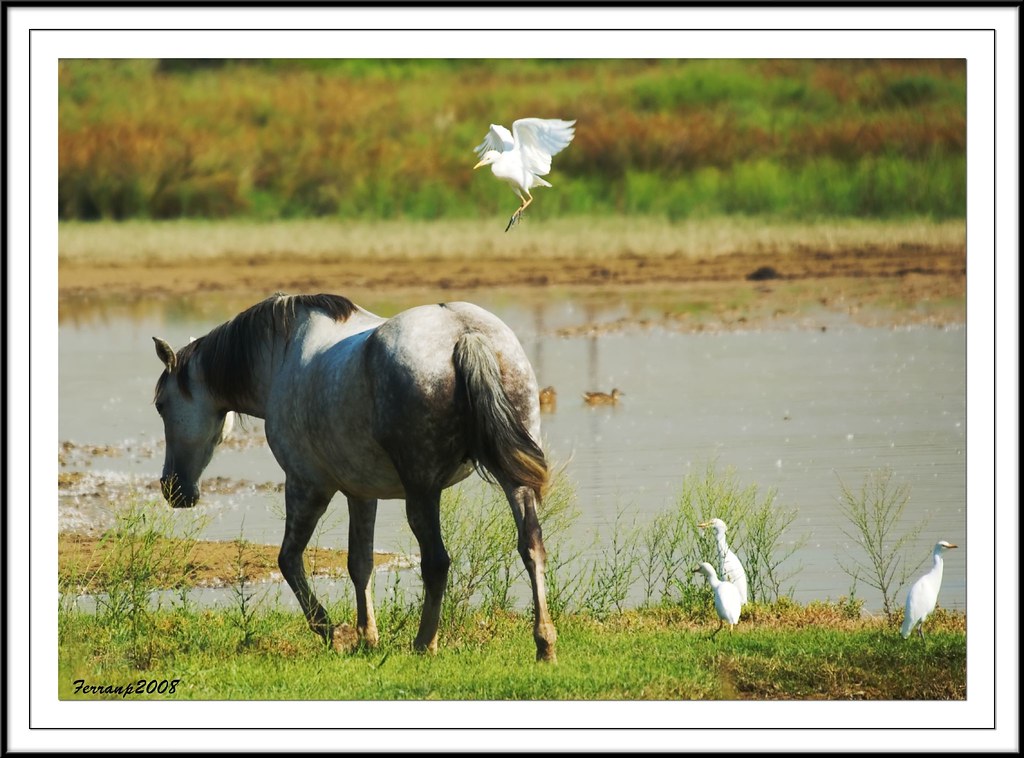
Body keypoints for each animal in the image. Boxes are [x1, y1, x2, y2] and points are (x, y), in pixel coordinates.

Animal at [152, 293, 557, 662]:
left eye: (160, 405)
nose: (172, 489)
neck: (281, 358)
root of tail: (465, 333)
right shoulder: (361, 493)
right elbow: (360, 563)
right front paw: (367, 635)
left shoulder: (306, 486)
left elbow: (289, 559)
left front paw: (331, 631)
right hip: (515, 482)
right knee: (531, 547)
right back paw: (544, 643)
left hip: (422, 492)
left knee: (437, 562)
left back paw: (424, 642)